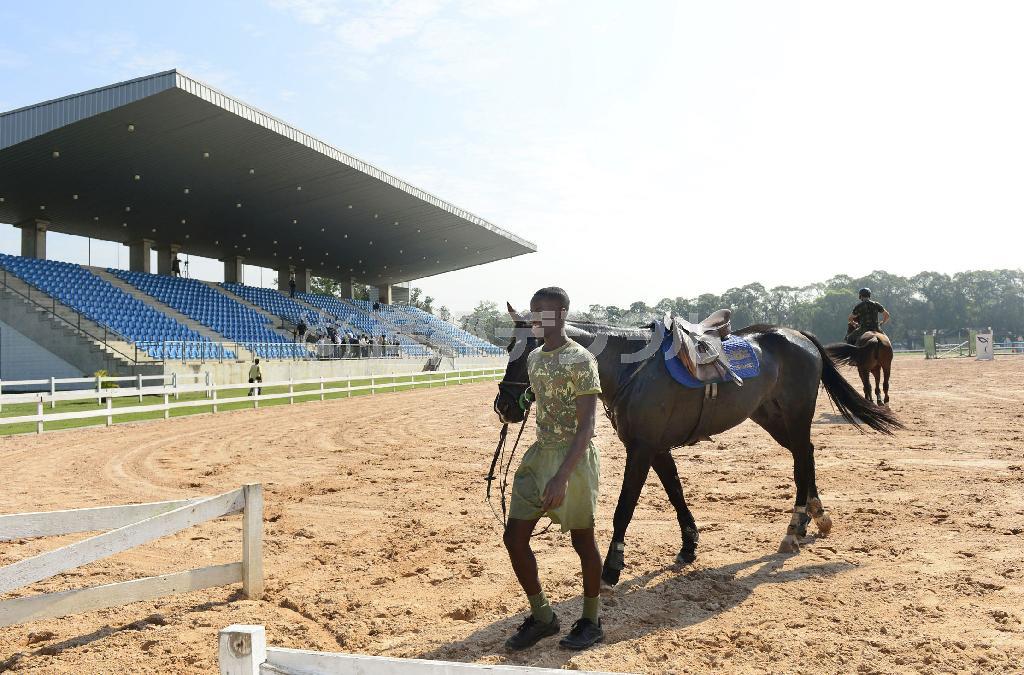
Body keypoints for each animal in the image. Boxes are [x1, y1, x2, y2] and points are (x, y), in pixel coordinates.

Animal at [493, 306, 903, 586]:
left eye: (533, 349)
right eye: (509, 346)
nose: (505, 406)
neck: (631, 368)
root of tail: (797, 335)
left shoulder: (641, 449)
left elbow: (624, 508)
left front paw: (612, 565)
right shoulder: (656, 448)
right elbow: (676, 493)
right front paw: (689, 545)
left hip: (796, 414)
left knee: (802, 459)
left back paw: (793, 527)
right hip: (771, 417)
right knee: (807, 456)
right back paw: (812, 518)